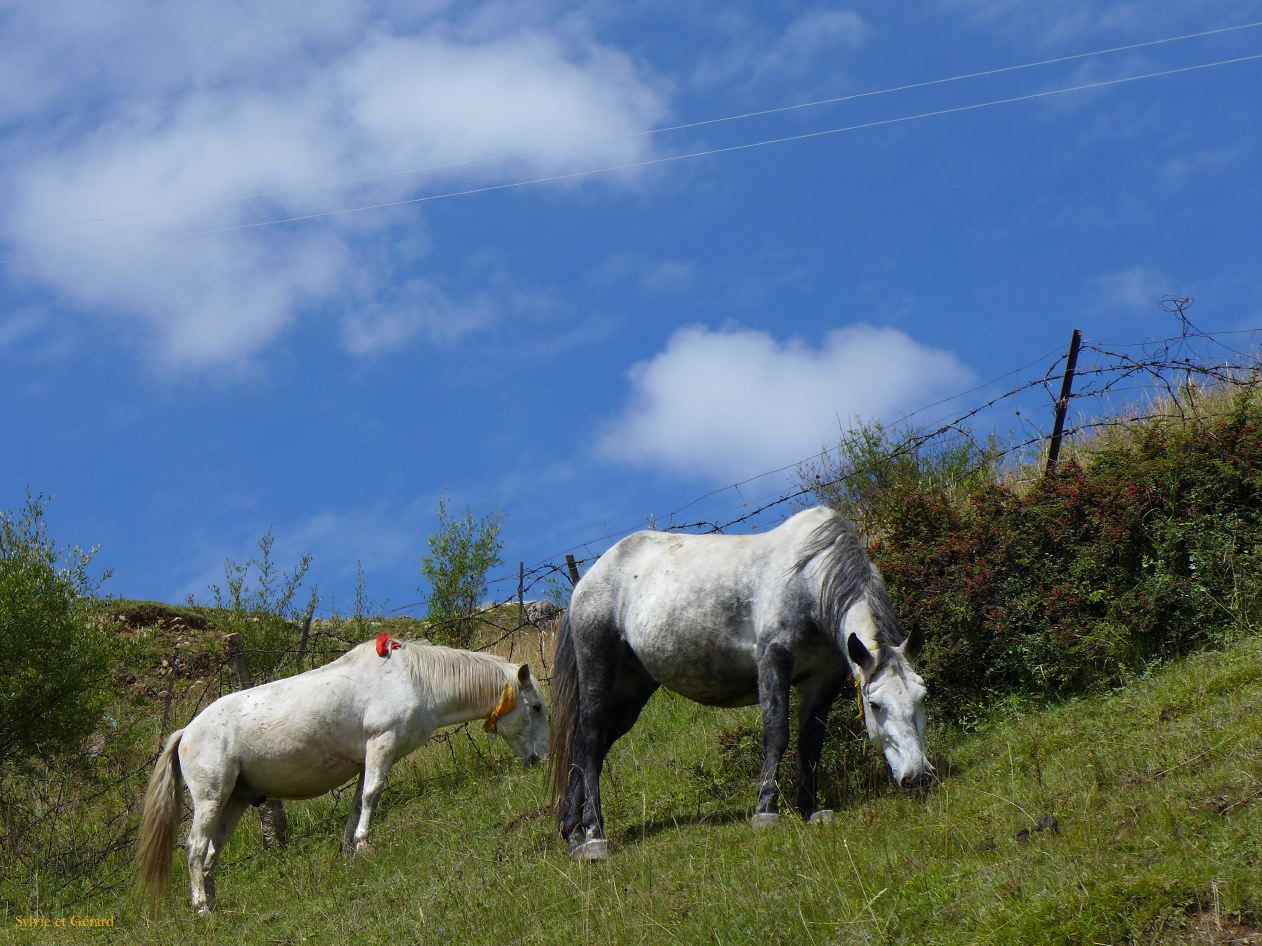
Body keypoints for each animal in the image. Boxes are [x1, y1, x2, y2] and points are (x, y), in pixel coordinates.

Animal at [137, 635, 549, 913]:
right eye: (536, 707)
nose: (540, 759)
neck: (414, 679)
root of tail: (185, 733)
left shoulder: (369, 759)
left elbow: (358, 803)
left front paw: (349, 850)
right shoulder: (381, 744)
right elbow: (372, 795)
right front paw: (365, 844)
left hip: (234, 800)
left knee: (210, 854)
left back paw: (213, 904)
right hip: (211, 797)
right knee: (195, 848)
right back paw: (200, 907)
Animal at [549, 506, 933, 860]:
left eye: (921, 698)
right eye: (875, 705)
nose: (918, 777)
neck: (810, 579)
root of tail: (585, 583)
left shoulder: (822, 680)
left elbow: (810, 743)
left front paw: (810, 809)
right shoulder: (773, 663)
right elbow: (777, 733)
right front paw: (766, 812)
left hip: (632, 691)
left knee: (591, 750)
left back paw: (574, 834)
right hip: (599, 670)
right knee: (588, 743)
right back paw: (594, 838)